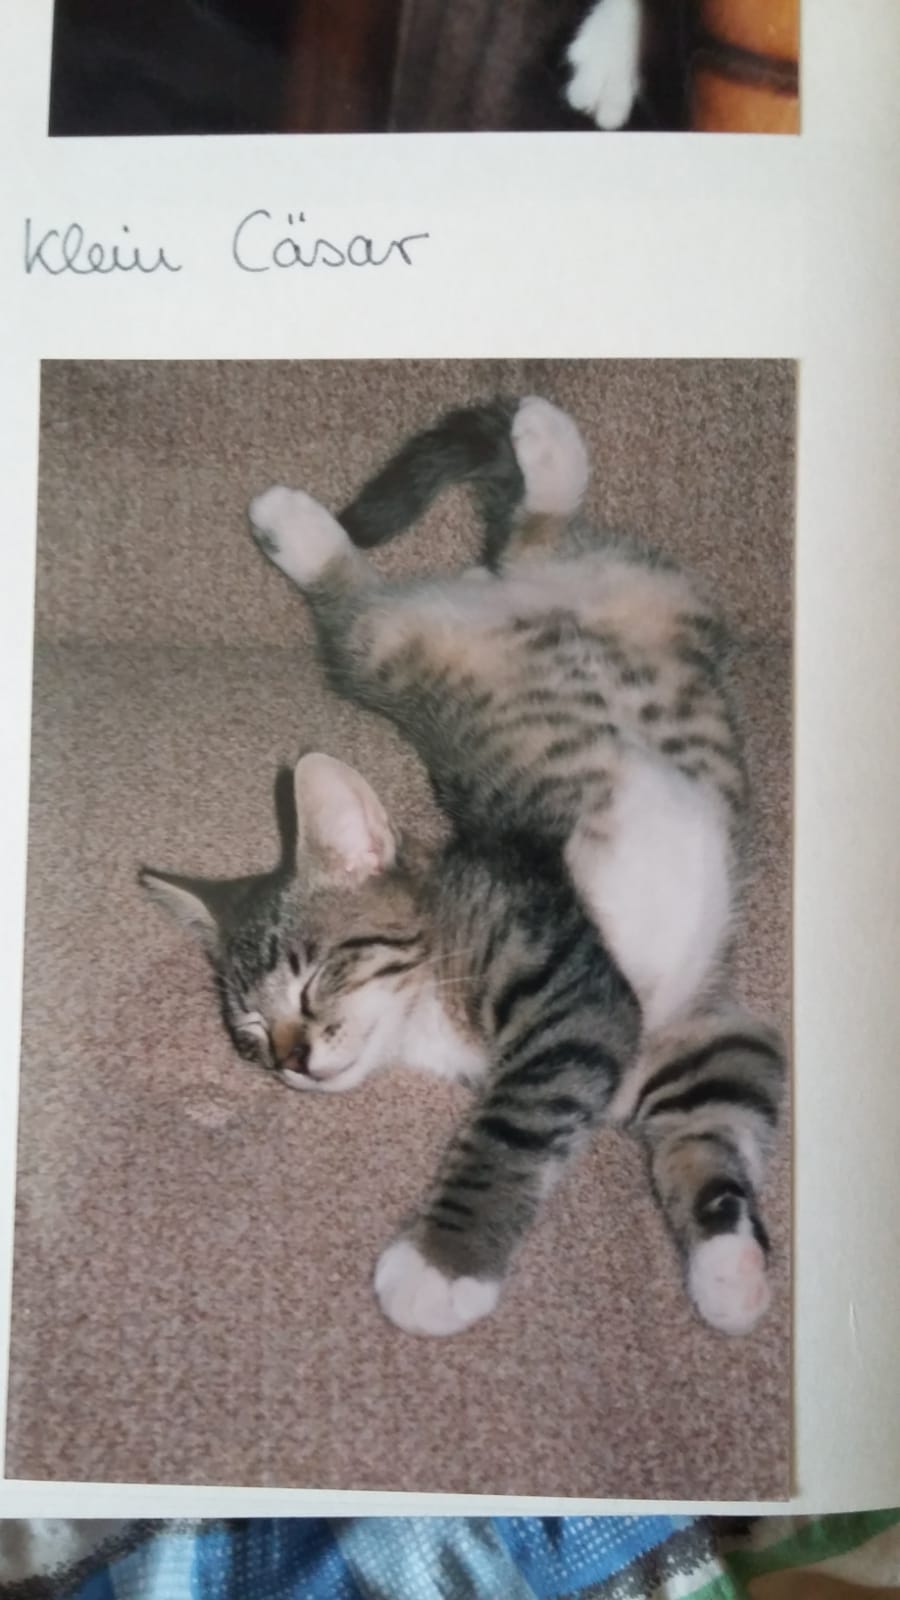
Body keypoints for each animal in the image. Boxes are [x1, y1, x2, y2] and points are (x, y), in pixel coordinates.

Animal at [141, 396, 785, 1340]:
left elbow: (517, 1129)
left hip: (416, 644)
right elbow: (712, 1130)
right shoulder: (687, 1038)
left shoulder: (585, 994)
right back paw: (532, 460)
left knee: (384, 589)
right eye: (250, 1033)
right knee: (520, 538)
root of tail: (503, 591)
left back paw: (311, 520)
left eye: (313, 978)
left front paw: (442, 1264)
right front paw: (730, 1265)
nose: (292, 1060)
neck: (429, 1008)